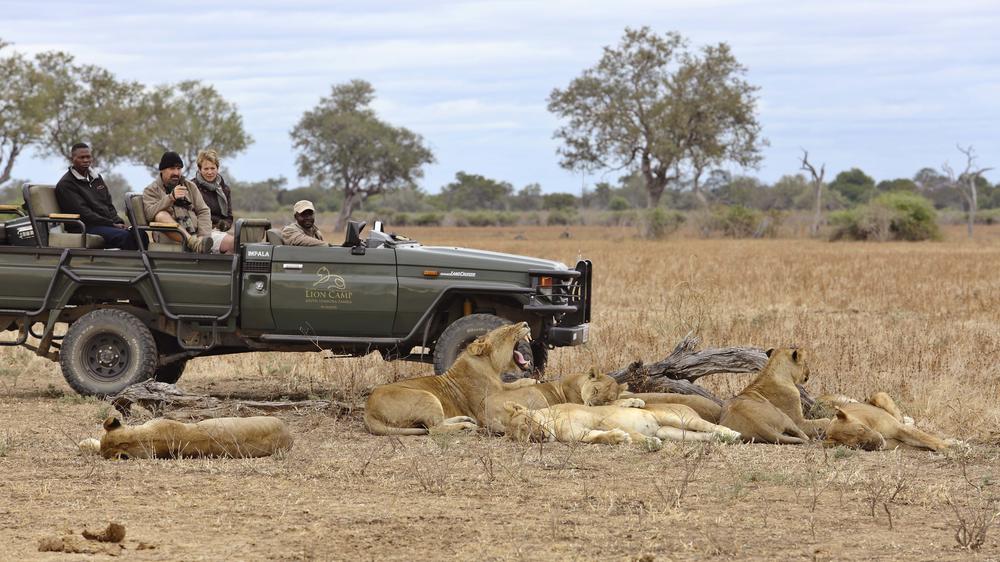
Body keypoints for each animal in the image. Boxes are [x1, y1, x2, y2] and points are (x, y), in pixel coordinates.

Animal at [364, 322, 536, 435]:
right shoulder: (485, 401)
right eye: (507, 329)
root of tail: (368, 410)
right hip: (427, 396)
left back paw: (465, 419)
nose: (526, 323)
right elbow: (513, 385)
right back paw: (467, 426)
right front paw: (533, 381)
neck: (489, 366)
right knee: (434, 428)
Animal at [480, 369, 628, 433]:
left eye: (607, 399)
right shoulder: (578, 403)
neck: (580, 382)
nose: (592, 405)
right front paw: (630, 401)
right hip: (535, 392)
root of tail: (483, 414)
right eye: (595, 390)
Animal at [824, 392, 954, 452]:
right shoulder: (897, 444)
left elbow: (928, 438)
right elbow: (925, 442)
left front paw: (952, 445)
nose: (877, 444)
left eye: (861, 429)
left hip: (879, 396)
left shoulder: (899, 428)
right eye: (857, 445)